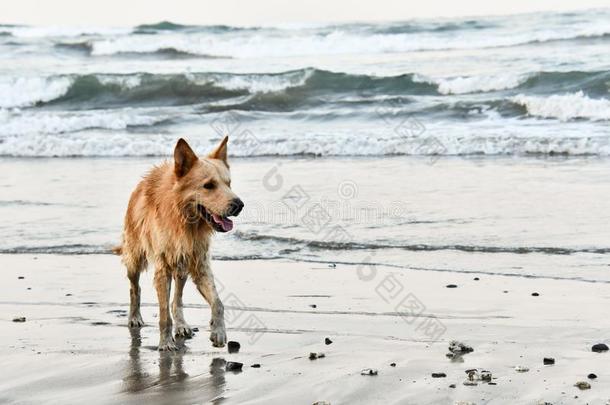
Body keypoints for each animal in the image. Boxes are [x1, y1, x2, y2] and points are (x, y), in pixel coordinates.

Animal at [116, 137, 242, 350]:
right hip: (134, 257)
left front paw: (218, 331)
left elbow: (218, 303)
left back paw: (182, 324)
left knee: (177, 299)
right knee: (135, 288)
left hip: (182, 266)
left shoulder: (200, 264)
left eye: (229, 183)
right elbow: (164, 313)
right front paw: (166, 343)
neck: (185, 222)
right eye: (209, 185)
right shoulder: (163, 269)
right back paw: (134, 317)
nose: (239, 205)